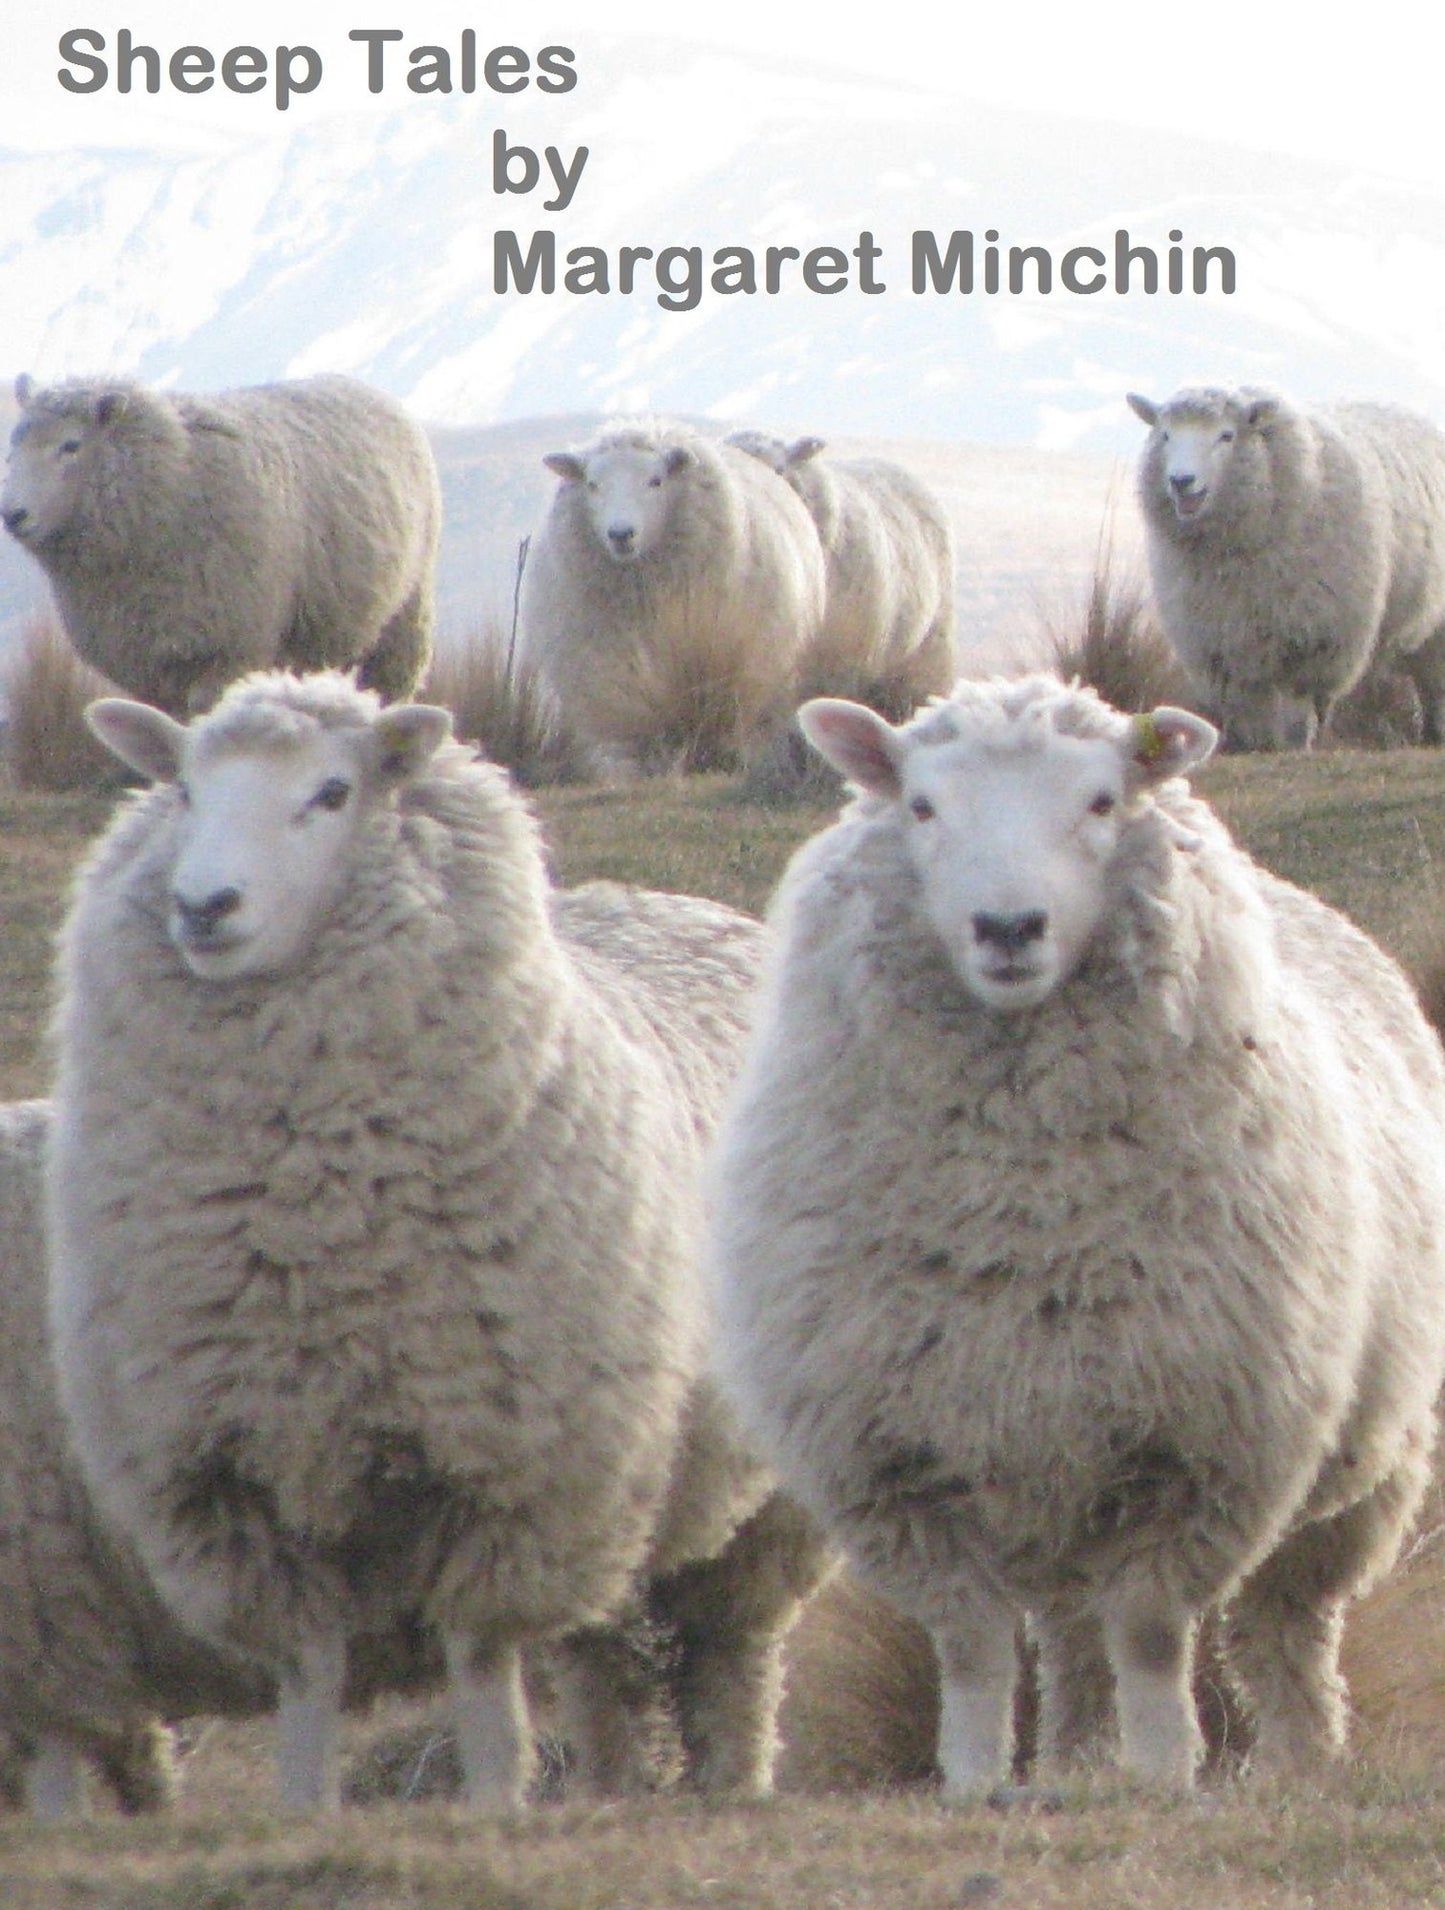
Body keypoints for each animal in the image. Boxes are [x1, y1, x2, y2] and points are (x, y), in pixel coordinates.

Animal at [2, 372, 441, 717]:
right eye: (13, 446)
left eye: (70, 445)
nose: (13, 513)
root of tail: (365, 386)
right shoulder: (153, 666)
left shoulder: (226, 655)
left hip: (403, 620)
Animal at [46, 667, 829, 1813]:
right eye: (182, 787)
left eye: (332, 792)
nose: (203, 907)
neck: (316, 1216)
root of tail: (678, 903)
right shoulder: (240, 1480)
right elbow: (310, 1672)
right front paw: (305, 1809)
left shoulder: (514, 1467)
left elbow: (478, 1660)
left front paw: (495, 1799)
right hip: (624, 1486)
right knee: (598, 1658)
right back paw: (605, 1786)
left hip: (746, 1496)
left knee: (732, 1651)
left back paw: (732, 1782)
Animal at [710, 672, 1445, 1795]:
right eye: (920, 805)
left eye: (1100, 801)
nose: (1007, 926)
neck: (1025, 1209)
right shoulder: (898, 1464)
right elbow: (972, 1645)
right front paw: (973, 1781)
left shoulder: (1199, 1446)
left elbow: (1147, 1630)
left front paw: (1168, 1772)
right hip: (1052, 1457)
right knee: (1065, 1634)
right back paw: (1074, 1760)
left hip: (1350, 1472)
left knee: (1284, 1624)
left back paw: (1295, 1759)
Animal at [1128, 386, 1445, 750]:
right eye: (1165, 435)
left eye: (1226, 435)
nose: (1181, 481)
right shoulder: (1222, 643)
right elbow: (1247, 708)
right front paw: (1254, 746)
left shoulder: (1313, 637)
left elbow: (1297, 706)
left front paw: (1296, 744)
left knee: (1434, 684)